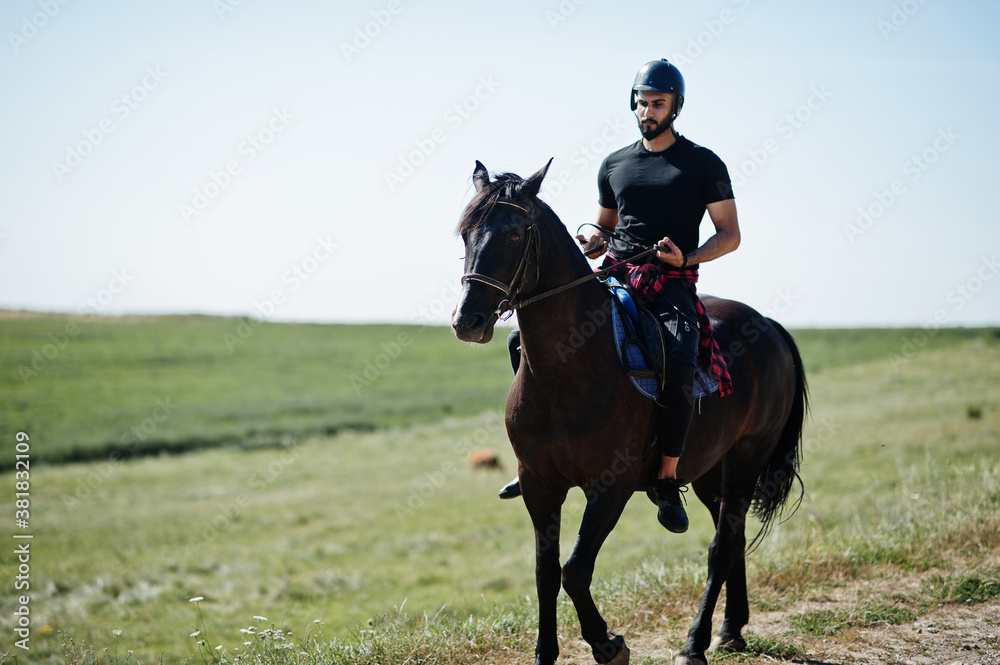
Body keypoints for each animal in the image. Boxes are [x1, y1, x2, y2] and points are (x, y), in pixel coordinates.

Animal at [454, 160, 804, 664]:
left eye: (516, 234)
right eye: (466, 233)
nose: (469, 321)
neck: (570, 365)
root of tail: (769, 325)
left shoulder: (609, 488)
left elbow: (575, 570)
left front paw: (607, 644)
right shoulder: (539, 485)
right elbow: (545, 572)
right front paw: (545, 653)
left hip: (745, 458)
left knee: (721, 545)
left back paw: (696, 642)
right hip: (708, 471)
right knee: (732, 534)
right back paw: (731, 629)